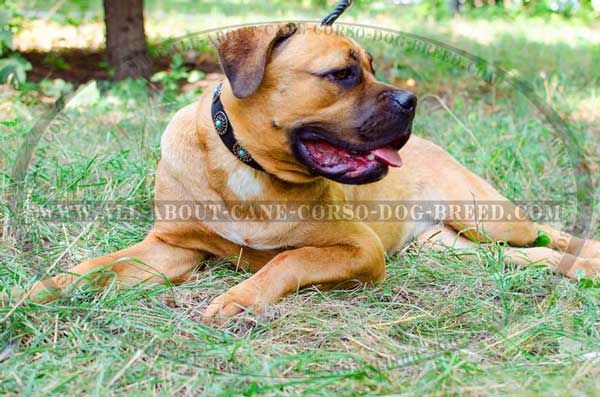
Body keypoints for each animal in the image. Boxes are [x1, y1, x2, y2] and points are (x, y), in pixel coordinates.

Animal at [4, 24, 600, 318]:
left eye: (372, 69)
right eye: (342, 74)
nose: (411, 101)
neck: (244, 164)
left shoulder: (359, 249)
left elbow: (286, 260)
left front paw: (240, 299)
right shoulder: (170, 248)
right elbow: (94, 267)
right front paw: (35, 293)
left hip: (485, 213)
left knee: (548, 232)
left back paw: (588, 256)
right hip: (447, 245)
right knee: (528, 255)